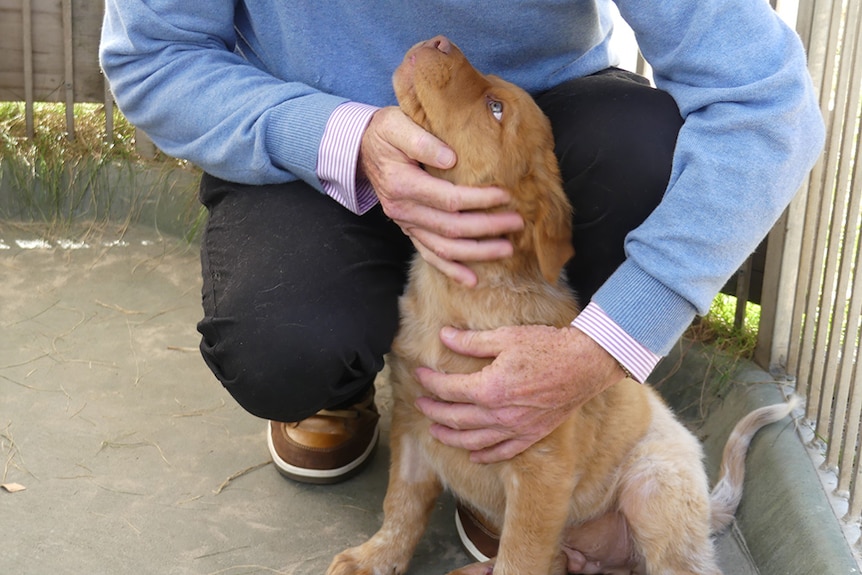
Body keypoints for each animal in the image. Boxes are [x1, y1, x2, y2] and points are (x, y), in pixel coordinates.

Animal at [330, 37, 796, 575]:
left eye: (496, 108)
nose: (437, 40)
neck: (462, 293)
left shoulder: (540, 468)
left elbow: (520, 557)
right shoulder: (411, 421)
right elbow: (401, 505)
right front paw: (373, 558)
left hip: (654, 488)